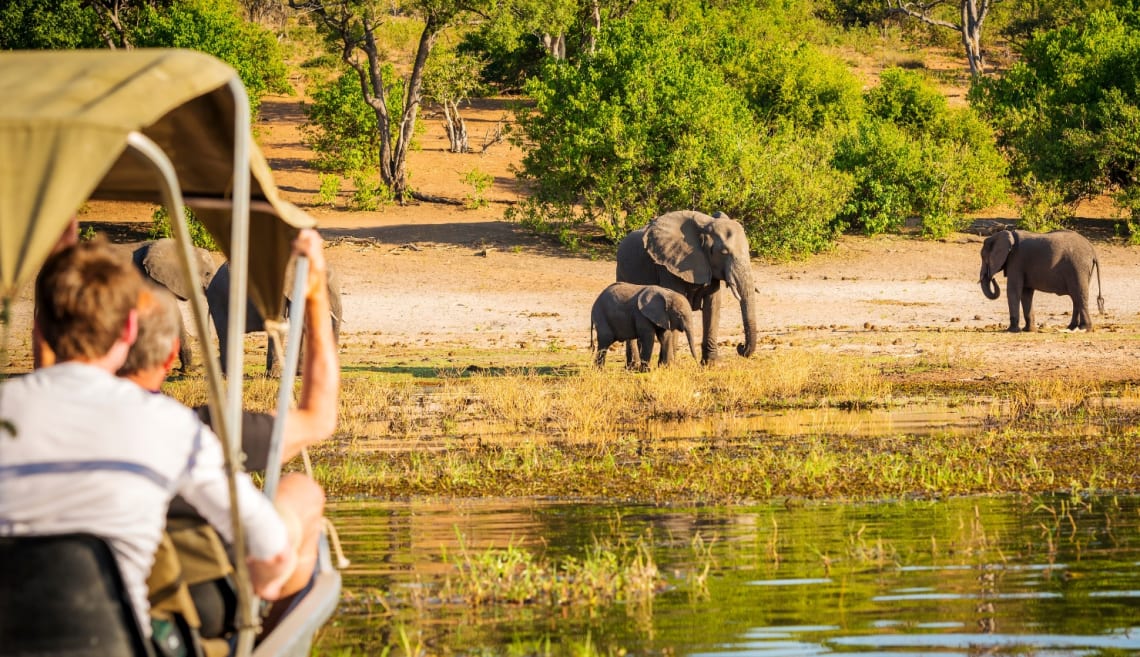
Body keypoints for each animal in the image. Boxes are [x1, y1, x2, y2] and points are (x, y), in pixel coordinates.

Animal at [615, 209, 756, 362]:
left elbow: (713, 305)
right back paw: (634, 365)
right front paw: (668, 364)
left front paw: (711, 363)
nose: (740, 347)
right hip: (621, 271)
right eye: (723, 252)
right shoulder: (668, 265)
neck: (705, 225)